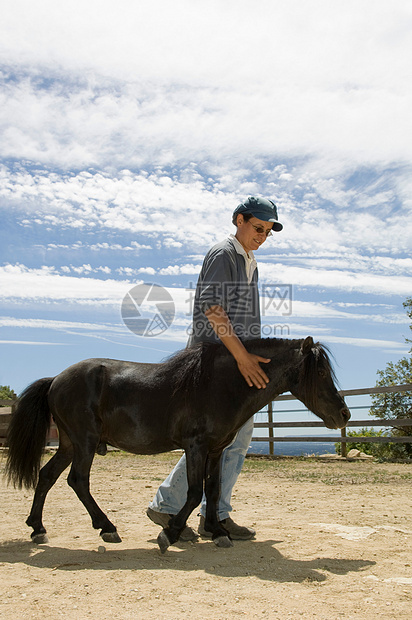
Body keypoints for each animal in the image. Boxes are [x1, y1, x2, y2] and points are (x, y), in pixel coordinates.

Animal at [4, 336, 350, 556]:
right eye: (320, 371)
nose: (344, 414)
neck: (221, 384)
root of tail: (55, 379)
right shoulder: (195, 447)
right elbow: (195, 492)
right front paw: (169, 533)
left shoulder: (215, 450)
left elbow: (214, 490)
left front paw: (218, 532)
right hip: (84, 443)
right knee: (77, 481)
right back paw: (107, 527)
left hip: (68, 444)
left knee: (47, 476)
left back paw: (37, 528)